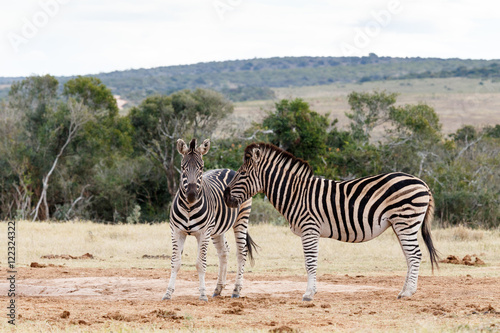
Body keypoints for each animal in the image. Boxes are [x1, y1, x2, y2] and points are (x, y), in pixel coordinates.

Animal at [163, 137, 258, 300]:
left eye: (201, 168)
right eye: (182, 167)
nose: (191, 195)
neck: (189, 207)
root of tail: (229, 170)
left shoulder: (203, 233)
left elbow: (200, 264)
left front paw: (202, 294)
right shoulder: (176, 231)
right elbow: (175, 262)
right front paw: (168, 293)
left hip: (241, 219)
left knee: (241, 252)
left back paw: (236, 290)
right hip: (217, 229)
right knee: (224, 252)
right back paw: (218, 288)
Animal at [225, 143, 440, 300]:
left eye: (242, 174)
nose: (226, 197)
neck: (295, 194)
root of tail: (422, 183)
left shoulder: (309, 229)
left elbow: (310, 262)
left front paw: (308, 294)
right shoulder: (311, 231)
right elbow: (312, 262)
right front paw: (312, 291)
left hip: (406, 221)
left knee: (415, 255)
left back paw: (407, 293)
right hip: (399, 224)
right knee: (409, 256)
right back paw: (404, 290)